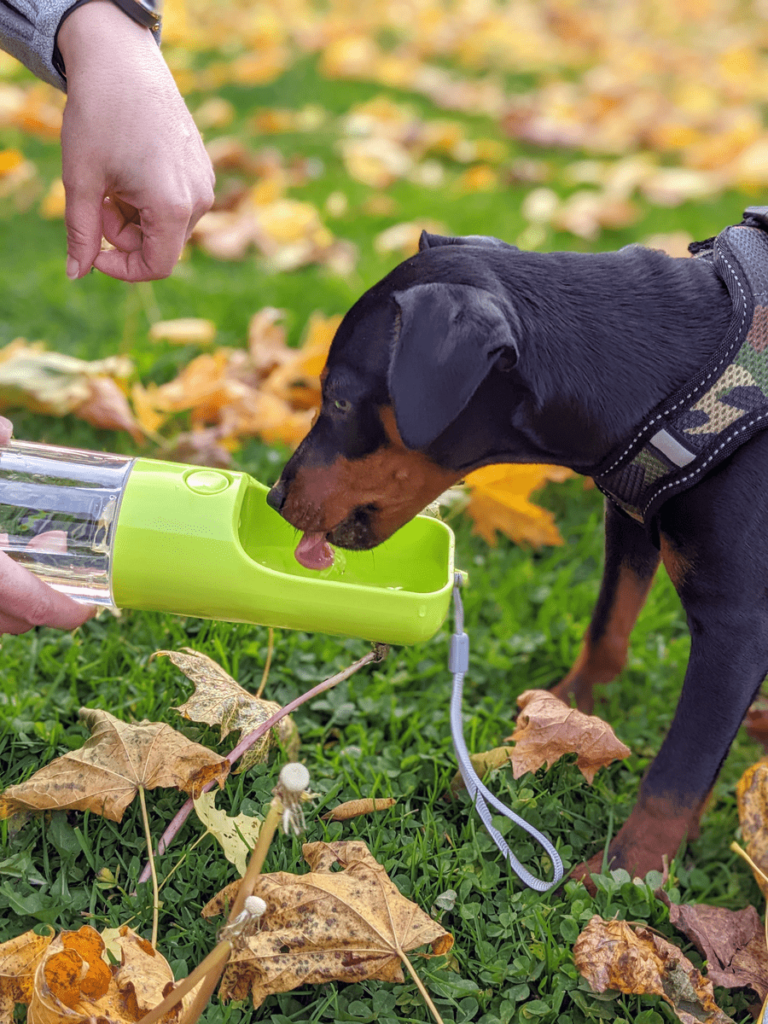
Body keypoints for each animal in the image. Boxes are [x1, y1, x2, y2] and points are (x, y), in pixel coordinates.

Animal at [266, 218, 768, 880]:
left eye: (340, 399)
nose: (275, 496)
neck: (679, 384)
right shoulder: (629, 518)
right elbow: (606, 630)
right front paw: (560, 718)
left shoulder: (735, 624)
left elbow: (677, 773)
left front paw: (624, 872)